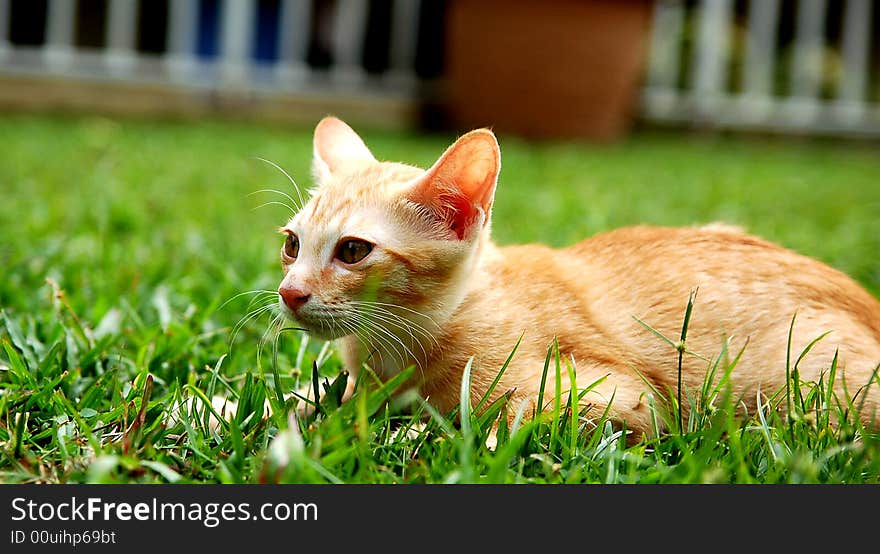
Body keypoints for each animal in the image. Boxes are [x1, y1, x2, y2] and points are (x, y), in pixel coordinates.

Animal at [276, 115, 880, 436]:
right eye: (292, 244)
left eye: (353, 250)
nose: (289, 292)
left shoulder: (625, 398)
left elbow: (493, 422)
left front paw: (412, 429)